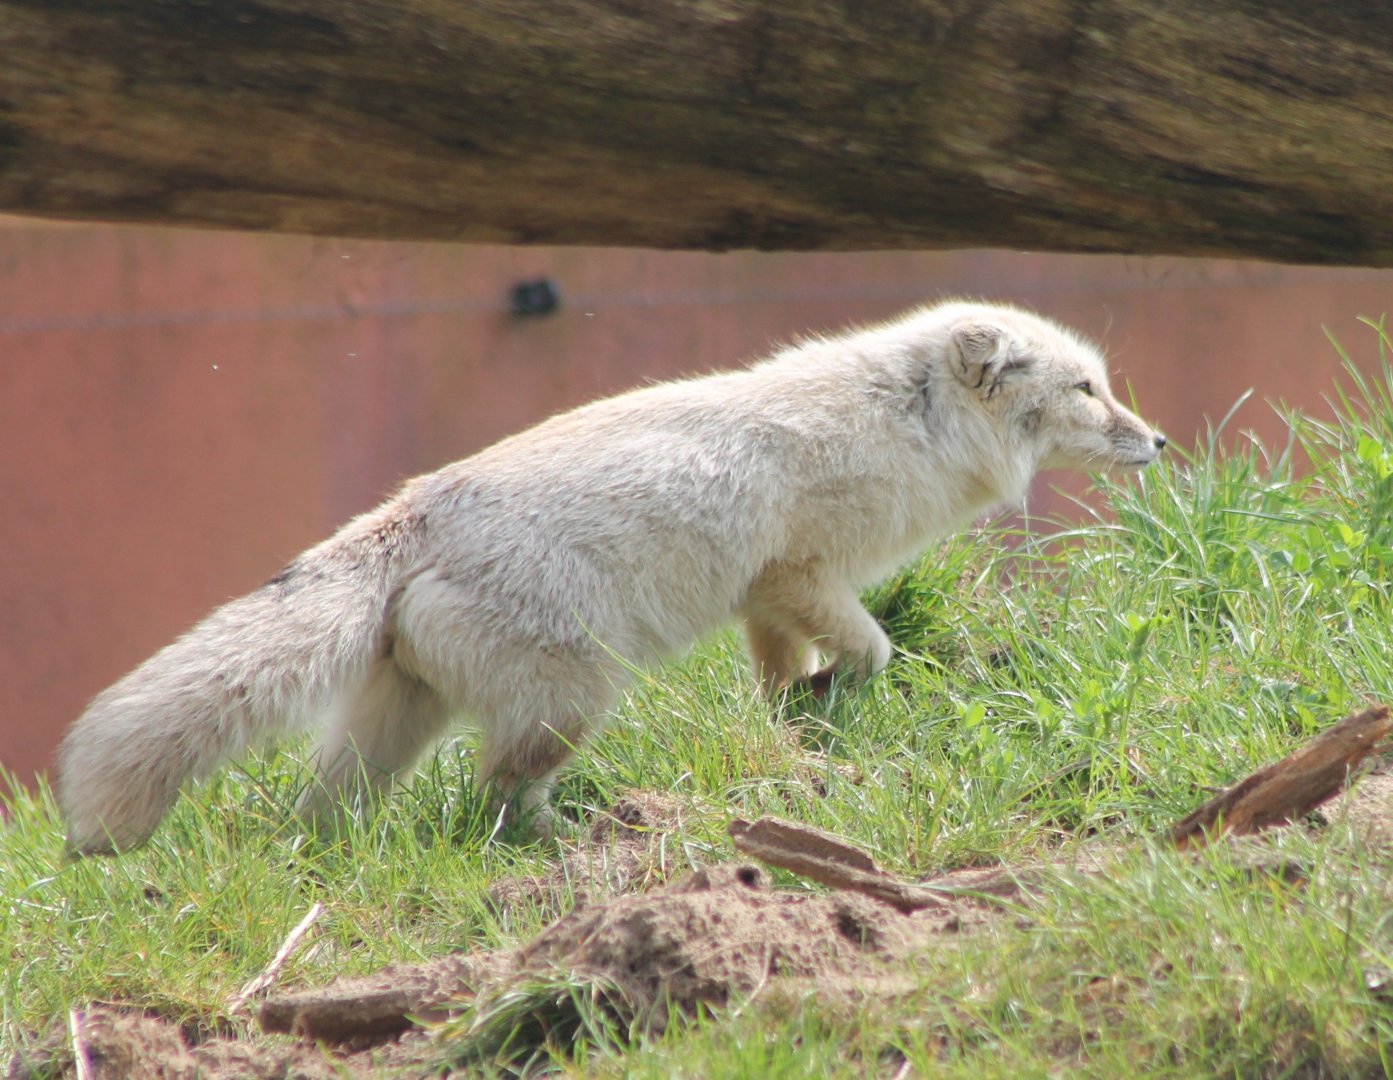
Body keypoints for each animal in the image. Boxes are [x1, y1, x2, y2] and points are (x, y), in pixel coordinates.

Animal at [56, 300, 1165, 855]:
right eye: (1087, 390)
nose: (1156, 440)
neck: (904, 422)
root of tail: (413, 510)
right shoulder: (803, 570)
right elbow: (877, 647)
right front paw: (834, 694)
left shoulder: (767, 597)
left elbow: (780, 672)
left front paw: (794, 719)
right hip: (572, 701)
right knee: (496, 793)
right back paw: (570, 838)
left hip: (396, 724)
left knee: (329, 809)